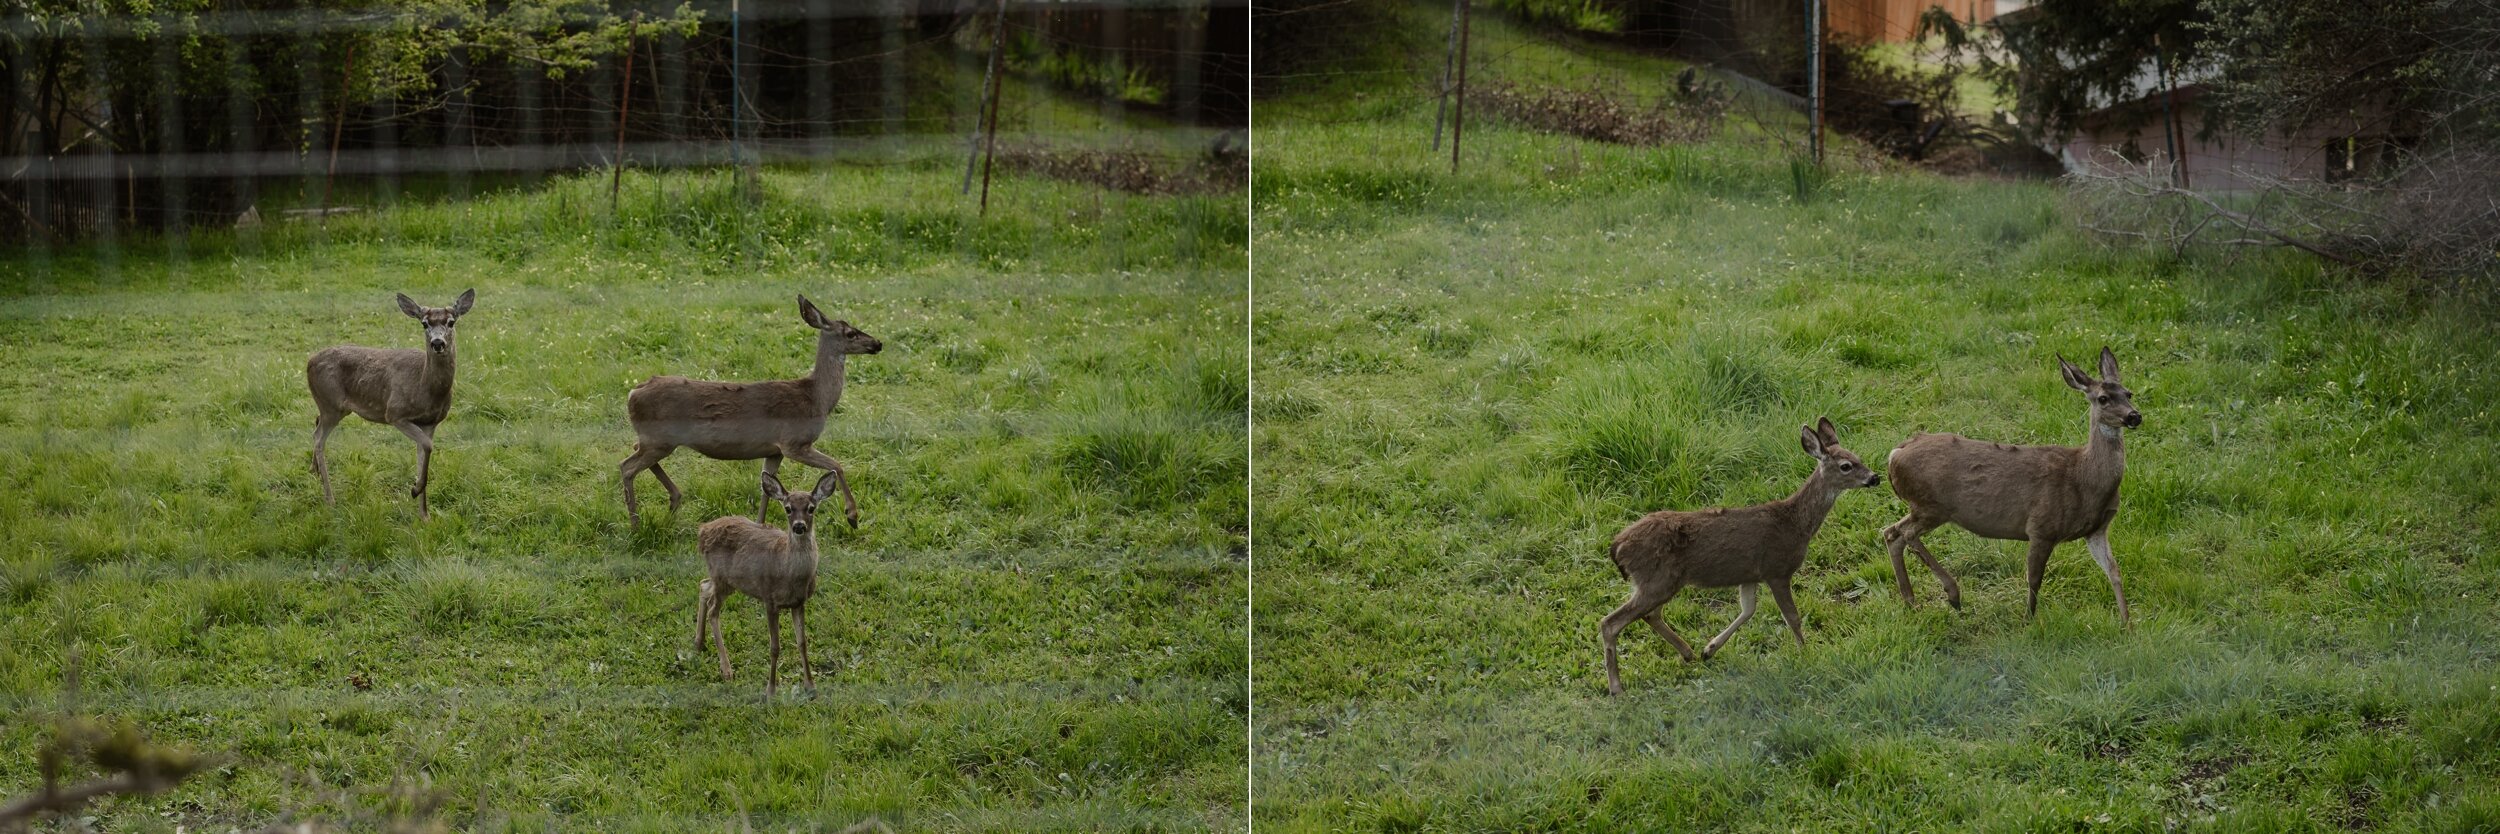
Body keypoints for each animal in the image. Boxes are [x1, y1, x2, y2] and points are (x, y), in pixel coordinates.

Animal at [306, 289, 472, 516]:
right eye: (424, 323)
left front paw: (424, 514)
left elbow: (423, 452)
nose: (437, 343)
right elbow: (428, 446)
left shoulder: (431, 422)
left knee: (316, 422)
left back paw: (314, 471)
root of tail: (309, 362)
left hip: (332, 406)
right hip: (331, 403)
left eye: (451, 322)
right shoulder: (395, 413)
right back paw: (330, 499)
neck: (425, 388)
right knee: (318, 437)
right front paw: (414, 490)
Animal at [620, 295, 885, 524]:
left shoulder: (774, 451)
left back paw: (674, 501)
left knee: (633, 451)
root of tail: (633, 392)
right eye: (850, 333)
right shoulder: (794, 443)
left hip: (655, 440)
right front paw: (852, 515)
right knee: (626, 467)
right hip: (659, 439)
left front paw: (759, 526)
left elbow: (767, 489)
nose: (878, 343)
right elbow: (837, 465)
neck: (816, 398)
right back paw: (636, 524)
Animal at [695, 469, 840, 699]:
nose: (799, 526)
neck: (790, 574)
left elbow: (802, 643)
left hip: (726, 581)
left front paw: (811, 687)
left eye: (811, 508)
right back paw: (727, 670)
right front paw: (770, 691)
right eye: (788, 508)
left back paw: (698, 643)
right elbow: (775, 647)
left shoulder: (799, 603)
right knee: (712, 610)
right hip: (721, 577)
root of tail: (702, 530)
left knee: (703, 586)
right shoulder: (769, 599)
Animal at [1600, 417, 1880, 699]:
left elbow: (1748, 610)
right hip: (1657, 580)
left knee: (1650, 614)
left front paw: (1709, 649)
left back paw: (1689, 653)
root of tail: (1617, 546)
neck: (1796, 524)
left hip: (1661, 582)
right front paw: (1806, 651)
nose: (1875, 477)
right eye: (1846, 466)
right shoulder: (1777, 569)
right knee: (1610, 622)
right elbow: (1792, 617)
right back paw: (1616, 688)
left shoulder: (1749, 575)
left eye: (1857, 457)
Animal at [1880, 344, 2140, 624]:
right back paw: (1952, 595)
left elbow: (2114, 571)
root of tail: (1895, 454)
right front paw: (2028, 620)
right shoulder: (2041, 526)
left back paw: (1910, 601)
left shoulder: (2097, 529)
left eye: (2128, 393)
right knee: (1905, 533)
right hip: (1931, 505)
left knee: (1892, 532)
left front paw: (2127, 624)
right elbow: (2034, 579)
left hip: (1923, 506)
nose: (2134, 416)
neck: (2084, 478)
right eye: (2103, 398)